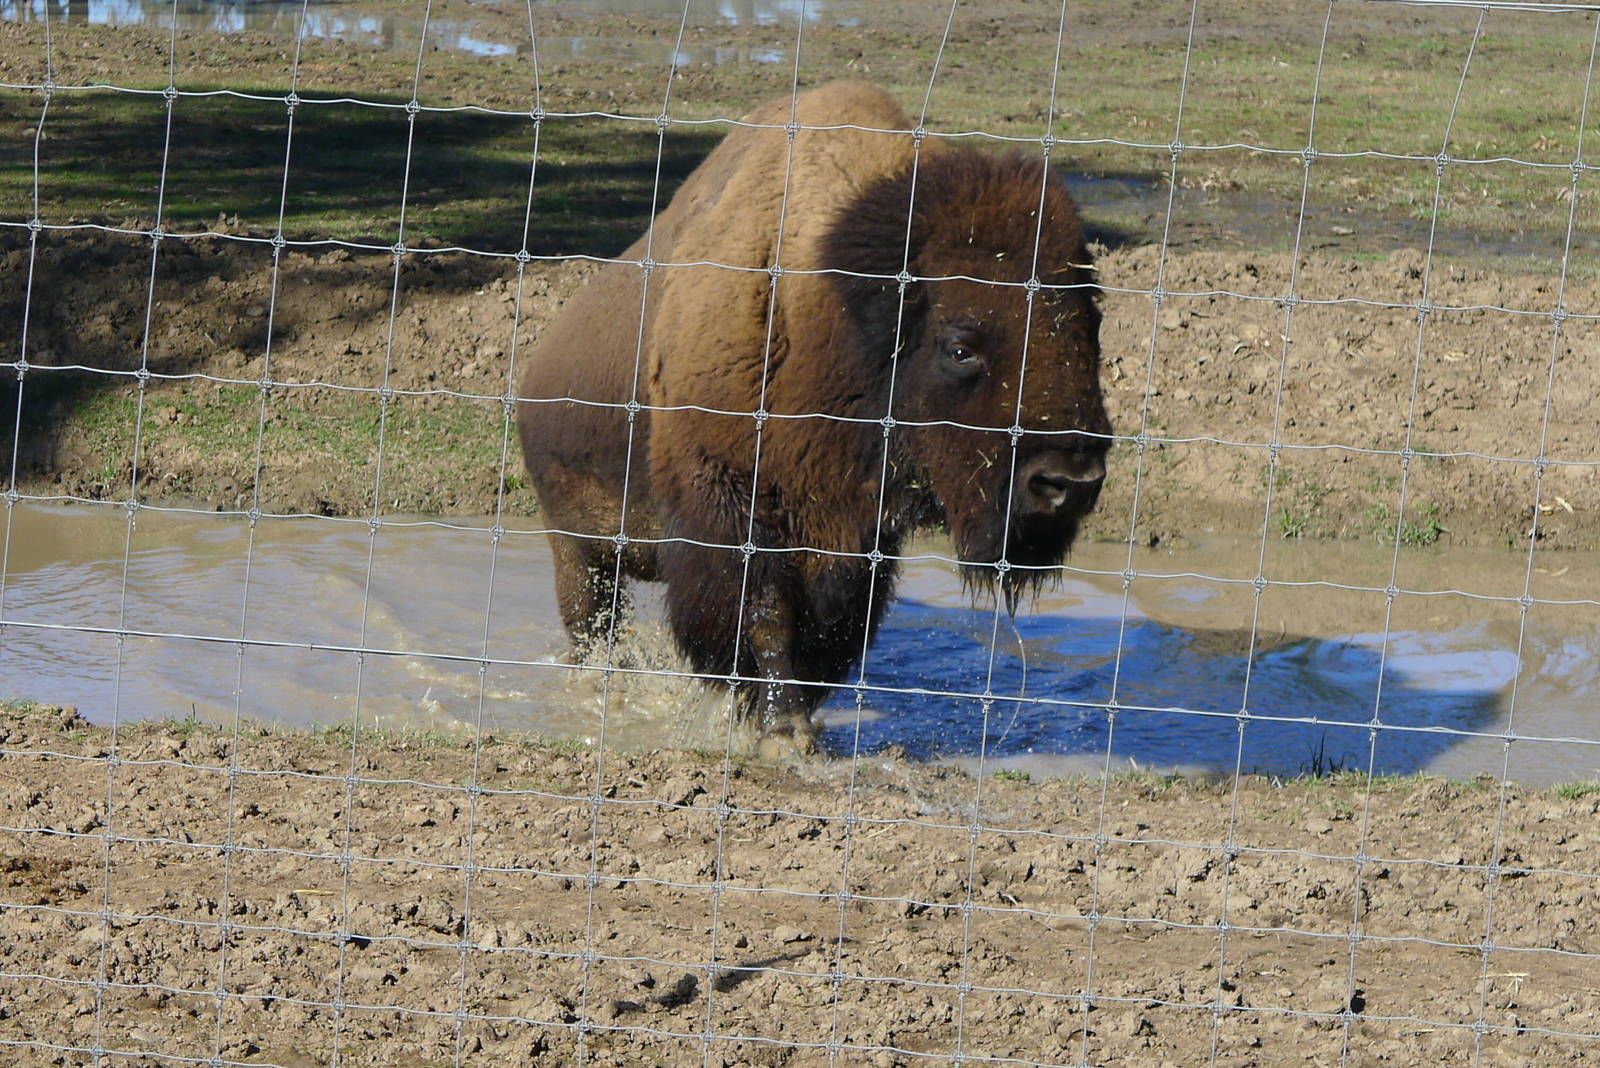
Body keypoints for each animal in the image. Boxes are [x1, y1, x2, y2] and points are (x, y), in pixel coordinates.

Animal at [518, 81, 1111, 753]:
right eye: (960, 347)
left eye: (1091, 327)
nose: (1070, 481)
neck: (838, 310)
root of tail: (535, 373)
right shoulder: (730, 502)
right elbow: (763, 616)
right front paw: (785, 731)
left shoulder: (856, 537)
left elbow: (828, 634)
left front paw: (788, 722)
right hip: (576, 547)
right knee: (595, 627)